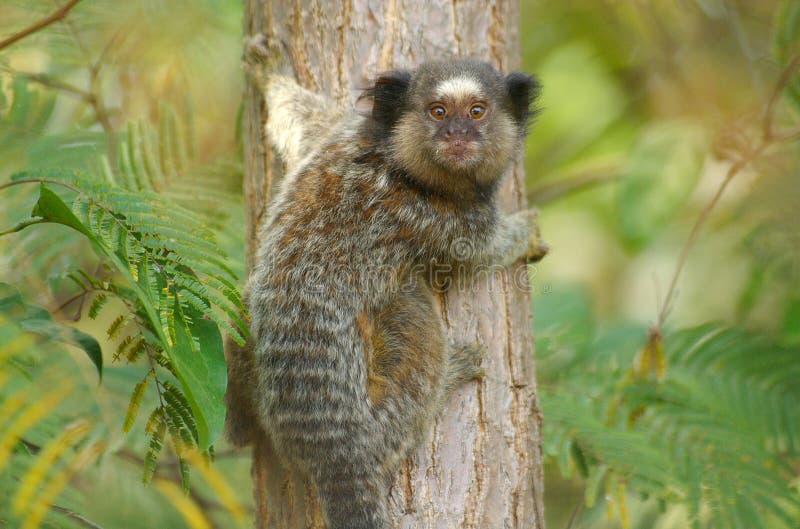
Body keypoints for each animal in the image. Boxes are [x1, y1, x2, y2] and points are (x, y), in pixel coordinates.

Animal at [225, 36, 552, 528]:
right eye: (438, 111)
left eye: (477, 112)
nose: (458, 135)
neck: (396, 160)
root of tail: (332, 448)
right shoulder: (437, 219)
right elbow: (480, 254)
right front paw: (524, 233)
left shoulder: (342, 135)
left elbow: (305, 126)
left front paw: (270, 74)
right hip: (375, 417)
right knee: (413, 311)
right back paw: (445, 378)